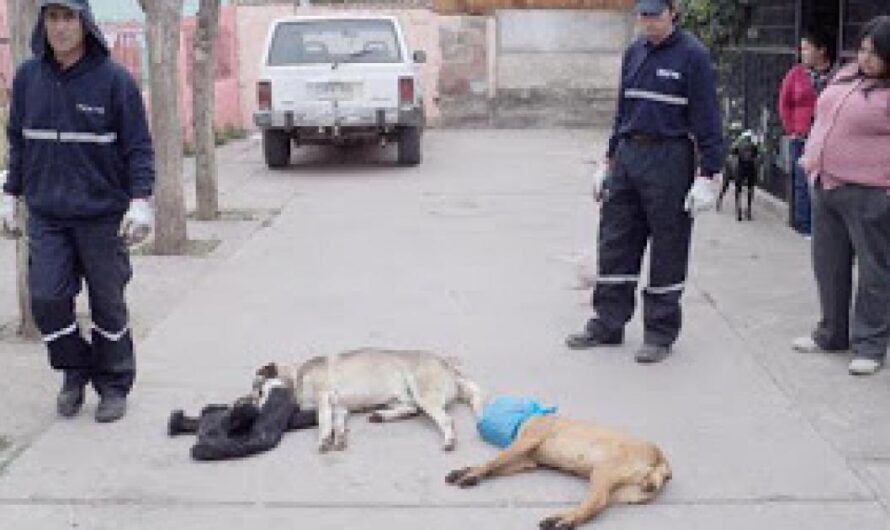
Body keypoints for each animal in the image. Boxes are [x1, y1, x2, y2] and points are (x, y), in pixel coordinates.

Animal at [253, 346, 482, 450]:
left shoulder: (323, 396)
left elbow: (323, 419)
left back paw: (449, 440)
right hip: (398, 398)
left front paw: (325, 438)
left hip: (423, 394)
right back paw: (381, 416)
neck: (297, 375)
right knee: (410, 409)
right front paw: (339, 437)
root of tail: (451, 369)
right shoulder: (340, 408)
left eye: (259, 391)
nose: (251, 406)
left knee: (445, 419)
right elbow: (338, 422)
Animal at [448, 414, 668, 524]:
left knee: (593, 503)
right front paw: (467, 471)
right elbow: (493, 466)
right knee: (598, 504)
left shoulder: (526, 441)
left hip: (603, 470)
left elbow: (492, 462)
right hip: (621, 490)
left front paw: (472, 473)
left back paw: (563, 520)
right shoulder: (528, 461)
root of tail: (660, 460)